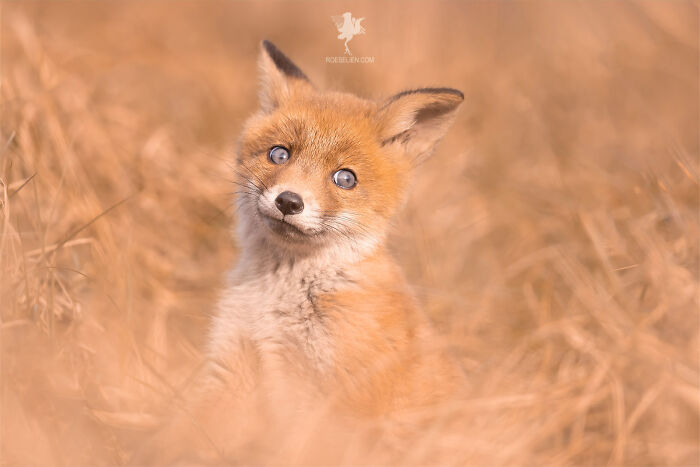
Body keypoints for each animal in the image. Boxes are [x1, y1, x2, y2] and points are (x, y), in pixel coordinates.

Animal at [134, 40, 464, 465]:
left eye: (345, 178)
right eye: (279, 154)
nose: (289, 201)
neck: (278, 298)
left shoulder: (333, 403)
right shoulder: (232, 364)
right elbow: (181, 438)